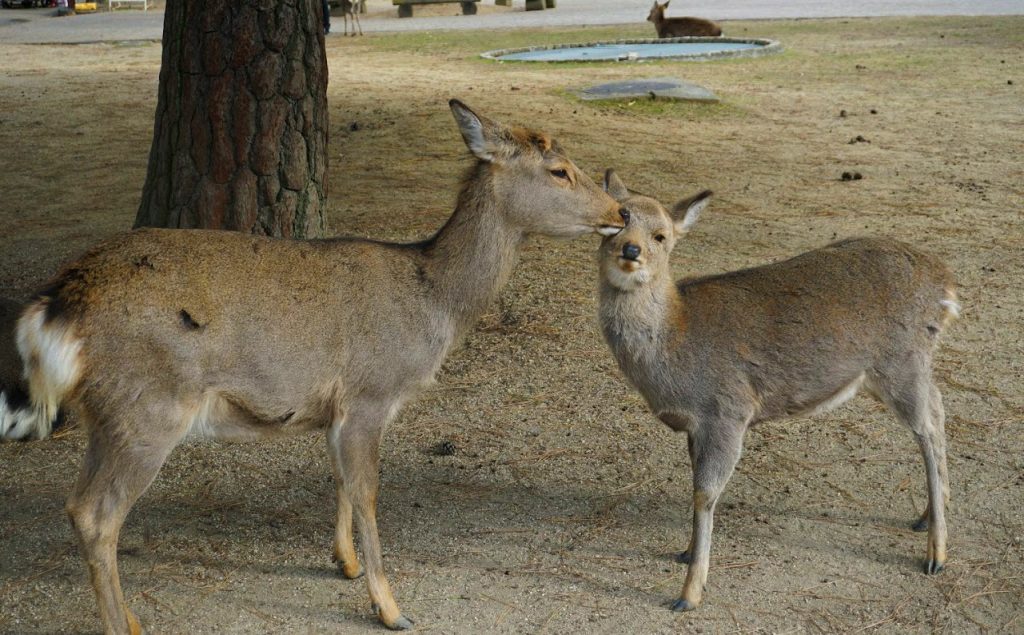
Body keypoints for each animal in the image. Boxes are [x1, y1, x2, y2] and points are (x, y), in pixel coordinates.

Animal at [14, 101, 622, 630]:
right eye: (560, 170)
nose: (621, 212)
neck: (434, 304)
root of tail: (56, 307)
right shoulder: (371, 392)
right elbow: (368, 490)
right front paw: (391, 608)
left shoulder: (336, 408)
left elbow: (340, 479)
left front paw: (344, 562)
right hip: (149, 408)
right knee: (97, 514)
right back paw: (126, 625)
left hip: (107, 415)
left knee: (77, 505)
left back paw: (134, 617)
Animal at [598, 171, 954, 614]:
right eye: (619, 218)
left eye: (661, 235)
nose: (631, 250)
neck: (676, 340)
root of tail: (945, 285)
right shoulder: (695, 427)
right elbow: (697, 485)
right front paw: (685, 551)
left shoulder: (727, 410)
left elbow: (705, 493)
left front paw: (689, 593)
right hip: (897, 370)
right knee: (938, 408)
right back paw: (927, 516)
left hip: (902, 361)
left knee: (929, 429)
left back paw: (937, 553)